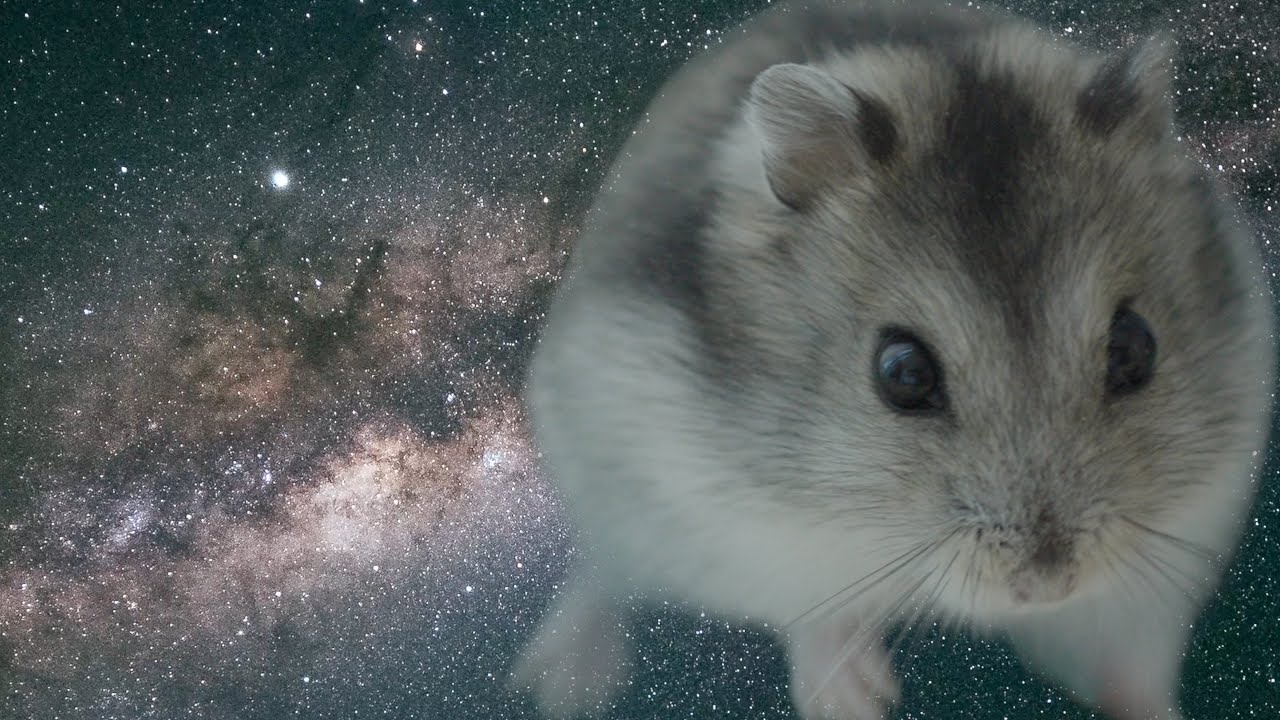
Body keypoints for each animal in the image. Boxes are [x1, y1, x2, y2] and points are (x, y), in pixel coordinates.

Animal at [511, 1, 1278, 719]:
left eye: (1135, 347)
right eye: (902, 373)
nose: (1045, 584)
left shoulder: (1153, 574)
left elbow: (1129, 676)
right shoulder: (720, 517)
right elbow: (808, 609)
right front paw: (858, 701)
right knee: (599, 573)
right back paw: (567, 688)